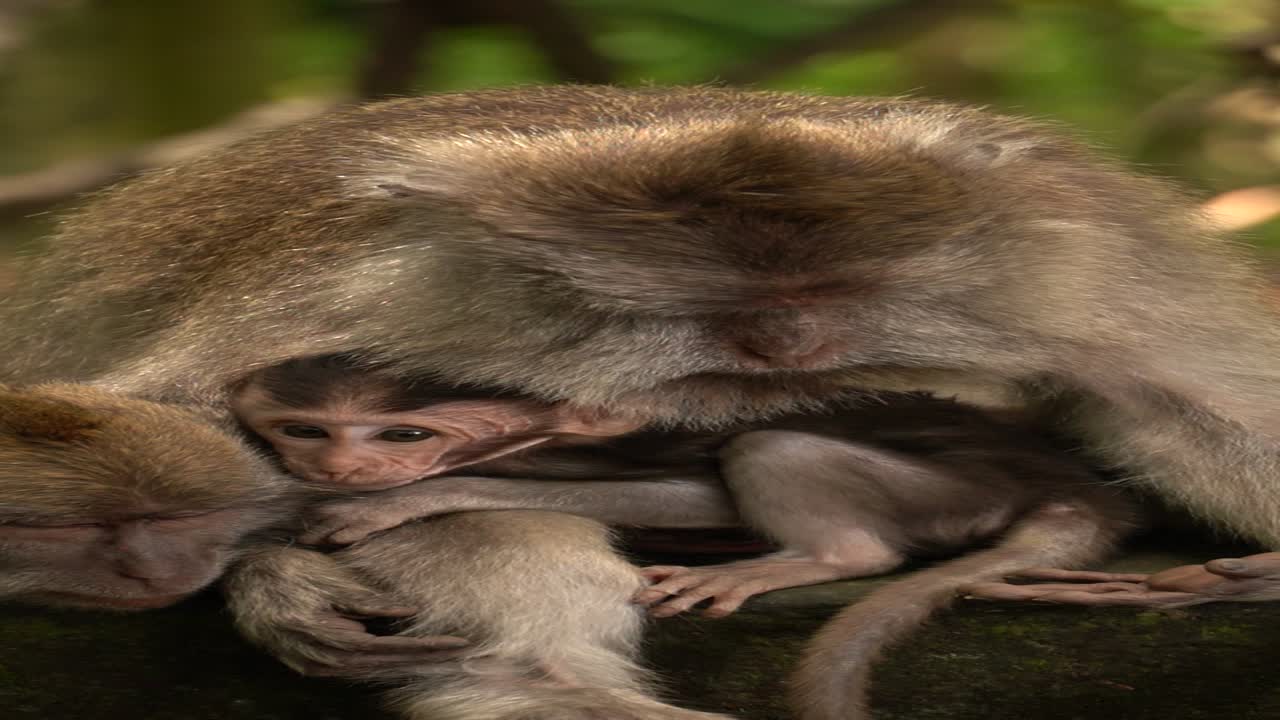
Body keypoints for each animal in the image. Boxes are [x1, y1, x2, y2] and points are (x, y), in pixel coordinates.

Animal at [4, 87, 1279, 718]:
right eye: (697, 309)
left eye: (836, 292)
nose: (788, 346)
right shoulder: (337, 290)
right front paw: (279, 576)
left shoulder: (1087, 274)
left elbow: (1189, 398)